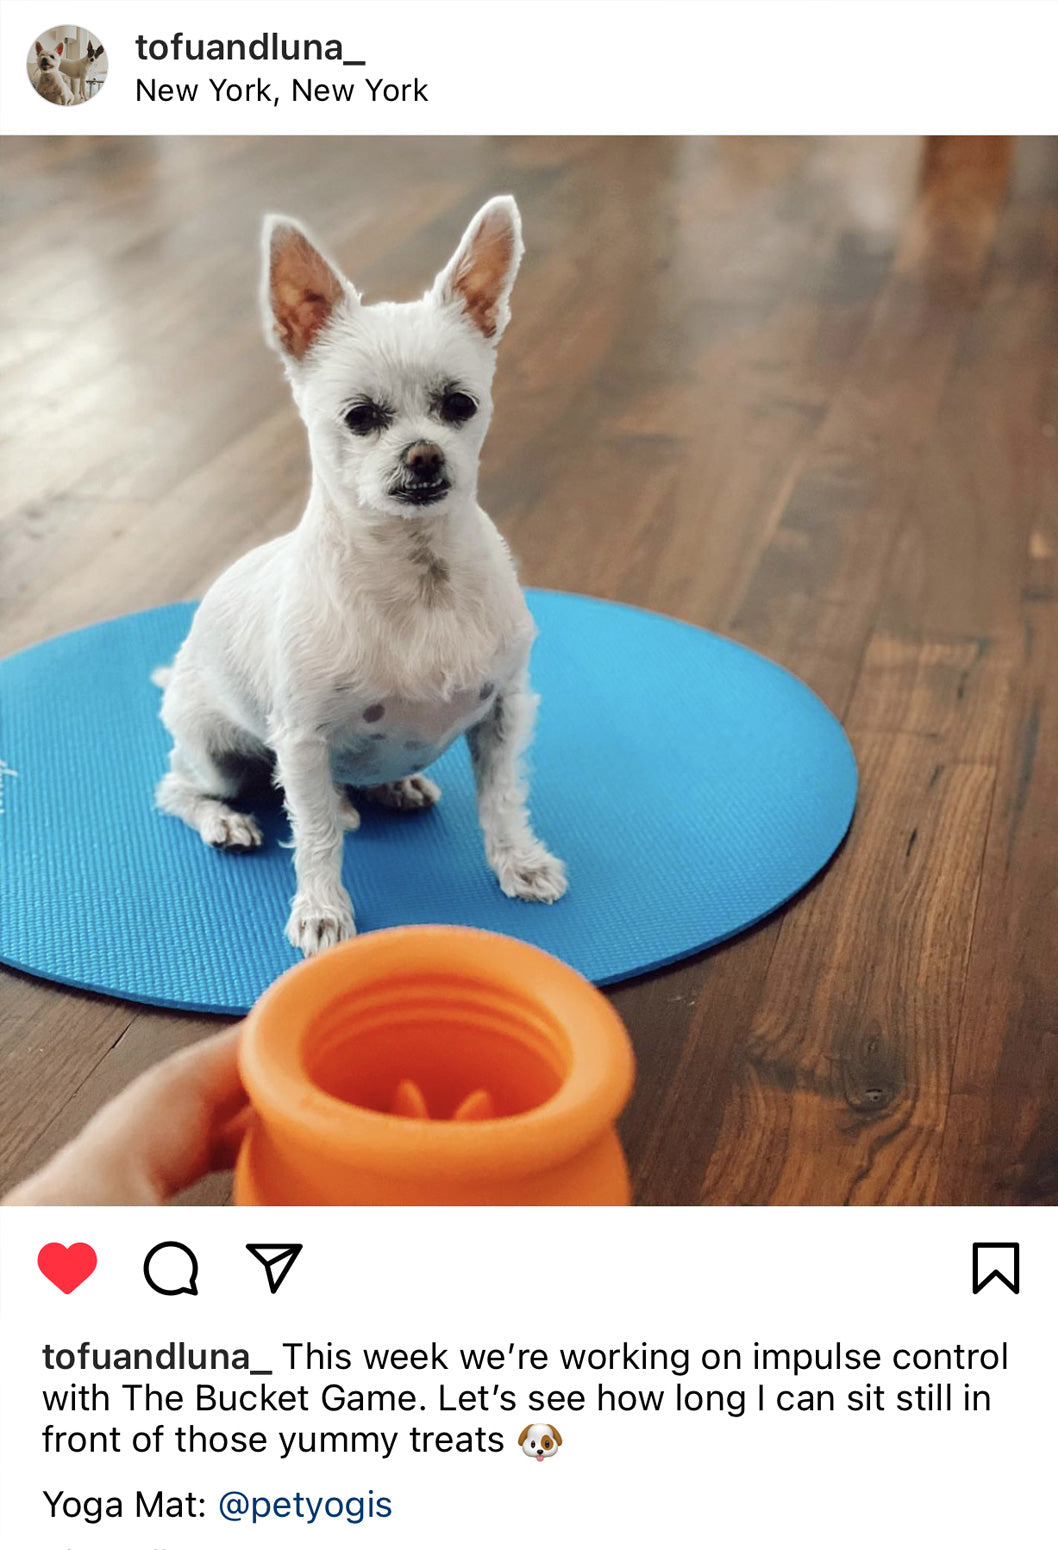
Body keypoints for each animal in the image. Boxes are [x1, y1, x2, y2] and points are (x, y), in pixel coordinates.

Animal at [156, 195, 566, 954]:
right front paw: (322, 909)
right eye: (360, 417)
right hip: (216, 754)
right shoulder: (302, 739)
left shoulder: (502, 712)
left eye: (460, 405)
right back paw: (227, 820)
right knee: (177, 789)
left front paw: (519, 862)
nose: (425, 456)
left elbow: (502, 800)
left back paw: (387, 789)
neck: (420, 578)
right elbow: (316, 836)